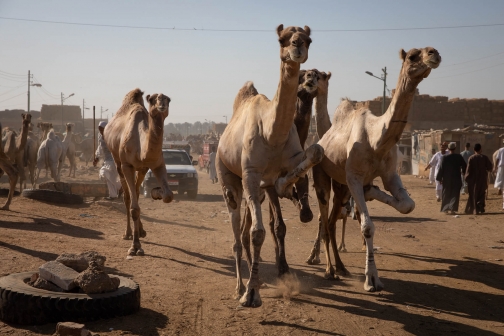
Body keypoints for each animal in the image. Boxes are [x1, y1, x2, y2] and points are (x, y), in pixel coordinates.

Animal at [104, 88, 173, 256]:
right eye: (152, 99)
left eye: (168, 99)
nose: (162, 105)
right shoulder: (127, 165)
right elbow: (134, 207)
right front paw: (135, 247)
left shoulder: (153, 165)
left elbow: (169, 195)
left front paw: (156, 192)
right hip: (117, 161)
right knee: (128, 196)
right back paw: (128, 233)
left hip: (139, 169)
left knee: (135, 191)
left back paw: (141, 231)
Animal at [216, 24, 322, 308]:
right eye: (282, 39)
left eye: (308, 39)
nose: (297, 46)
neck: (271, 132)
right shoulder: (250, 175)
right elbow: (257, 233)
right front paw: (251, 295)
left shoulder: (289, 162)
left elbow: (313, 155)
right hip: (228, 177)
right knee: (237, 235)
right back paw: (240, 287)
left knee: (245, 229)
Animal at [314, 47, 440, 292]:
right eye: (412, 56)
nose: (434, 54)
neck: (375, 140)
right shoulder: (353, 177)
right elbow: (367, 227)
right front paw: (371, 279)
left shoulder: (390, 174)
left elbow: (408, 205)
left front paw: (373, 191)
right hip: (323, 175)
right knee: (324, 220)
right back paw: (329, 270)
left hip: (341, 186)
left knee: (332, 221)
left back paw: (341, 267)